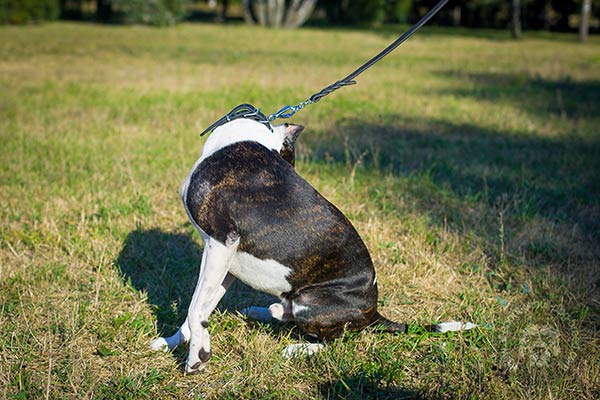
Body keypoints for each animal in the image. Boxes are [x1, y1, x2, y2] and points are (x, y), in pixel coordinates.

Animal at [151, 117, 474, 374]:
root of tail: (373, 313)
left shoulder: (220, 242)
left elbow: (195, 308)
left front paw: (197, 357)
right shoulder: (226, 258)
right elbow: (201, 306)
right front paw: (172, 342)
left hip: (310, 304)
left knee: (336, 341)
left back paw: (297, 347)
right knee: (292, 316)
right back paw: (265, 311)